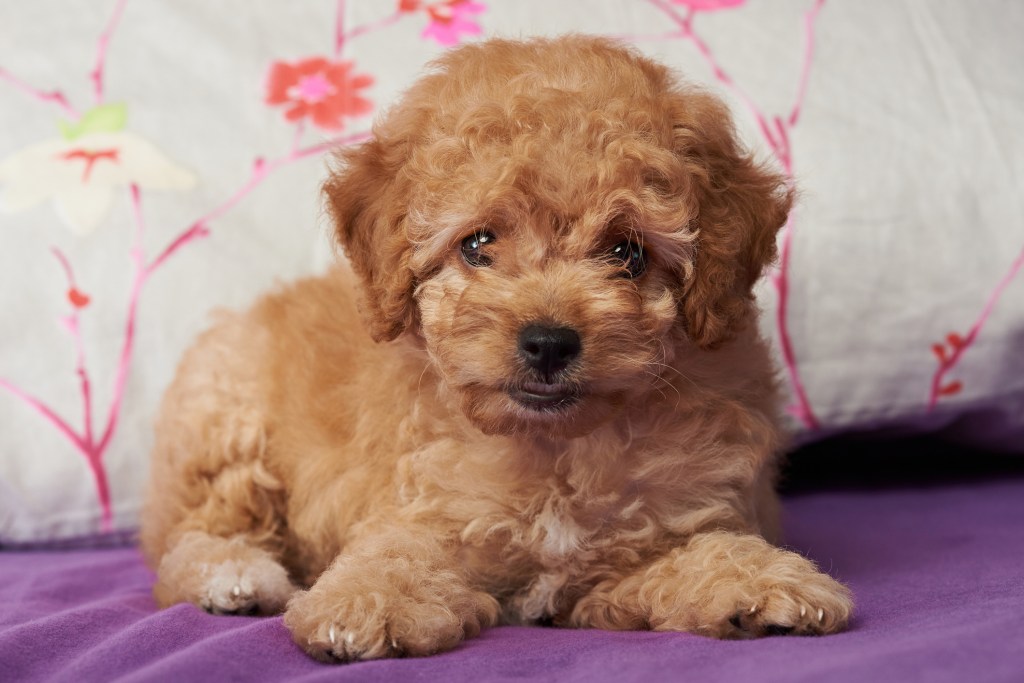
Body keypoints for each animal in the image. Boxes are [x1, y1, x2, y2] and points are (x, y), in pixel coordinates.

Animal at [140, 34, 851, 659]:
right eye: (478, 243)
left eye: (627, 252)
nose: (548, 342)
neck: (553, 446)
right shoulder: (420, 507)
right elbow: (397, 551)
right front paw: (366, 602)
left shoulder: (657, 536)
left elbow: (700, 552)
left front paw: (766, 582)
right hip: (223, 421)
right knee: (188, 538)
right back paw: (236, 577)